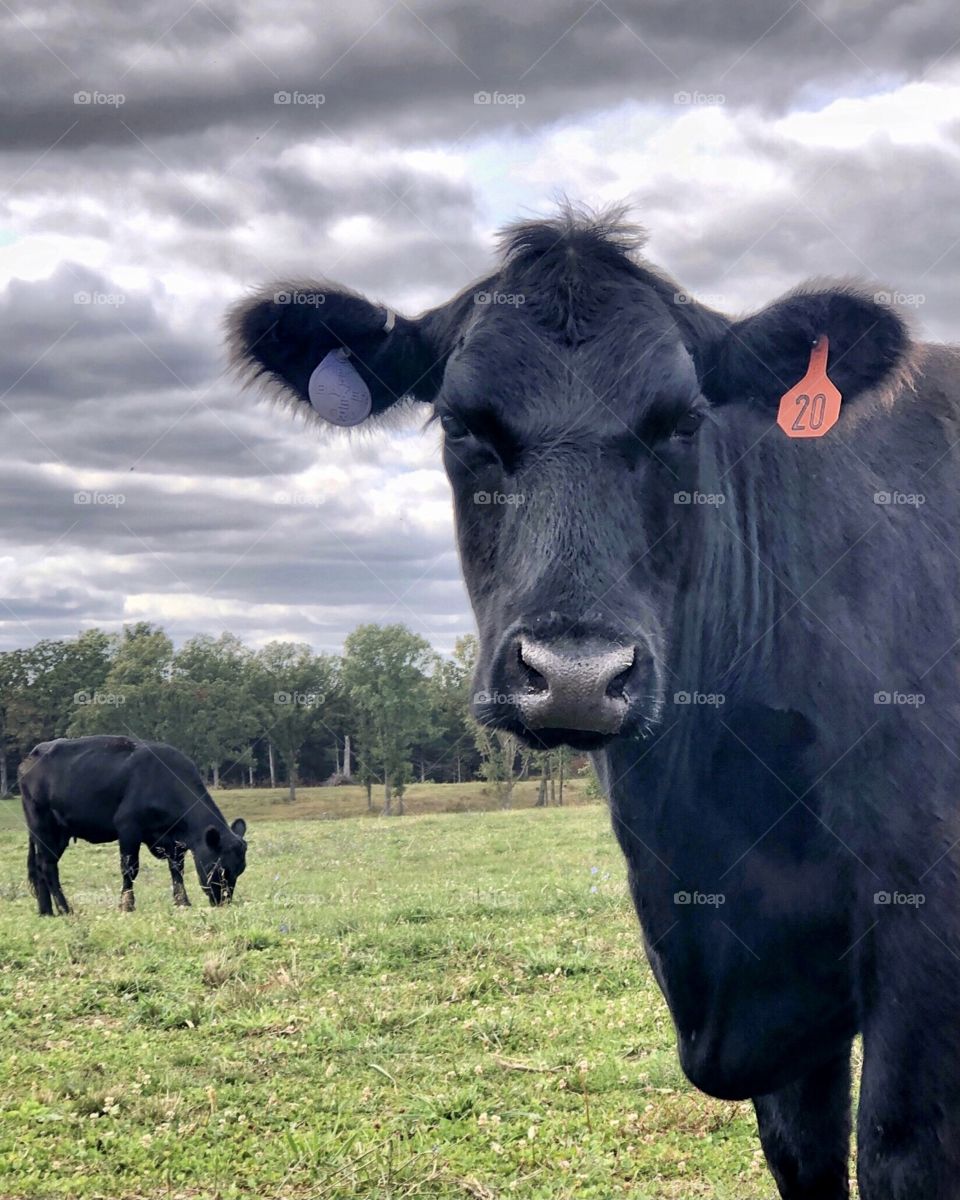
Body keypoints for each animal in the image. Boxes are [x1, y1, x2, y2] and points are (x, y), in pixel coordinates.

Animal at [19, 735, 247, 914]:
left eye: (240, 870)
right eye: (220, 867)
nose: (223, 902)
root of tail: (34, 754)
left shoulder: (175, 842)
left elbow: (177, 870)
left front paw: (183, 902)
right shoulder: (128, 828)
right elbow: (130, 868)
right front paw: (127, 905)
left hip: (60, 833)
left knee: (40, 866)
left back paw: (46, 911)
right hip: (43, 826)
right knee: (47, 866)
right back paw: (65, 909)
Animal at [228, 205, 960, 1199]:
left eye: (682, 422)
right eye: (460, 423)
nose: (577, 673)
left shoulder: (921, 936)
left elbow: (896, 1151)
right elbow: (803, 1152)